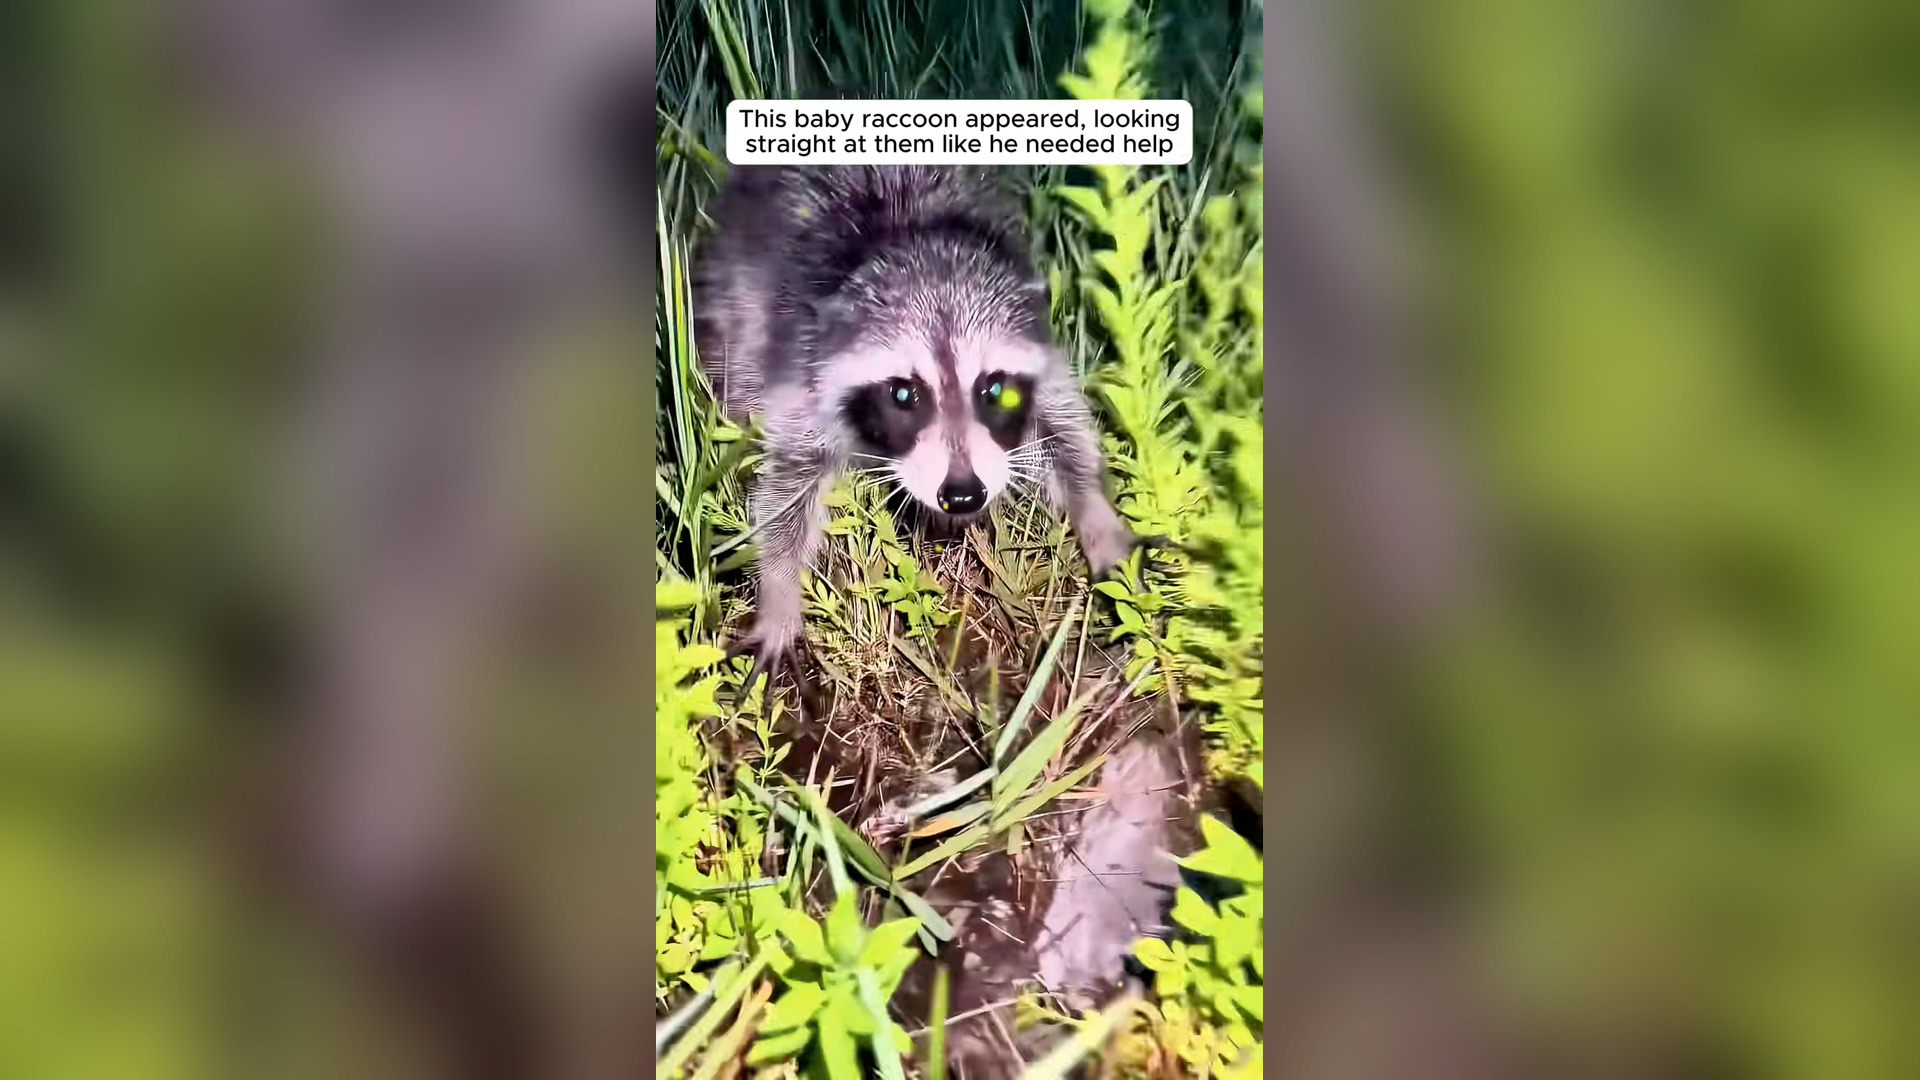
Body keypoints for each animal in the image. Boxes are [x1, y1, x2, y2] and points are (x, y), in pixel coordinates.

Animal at [694, 165, 1136, 695]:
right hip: (737, 297)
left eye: (995, 390)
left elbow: (1066, 432)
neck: (918, 247)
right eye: (904, 395)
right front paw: (779, 594)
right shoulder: (804, 365)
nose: (963, 494)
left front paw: (1096, 516)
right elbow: (785, 492)